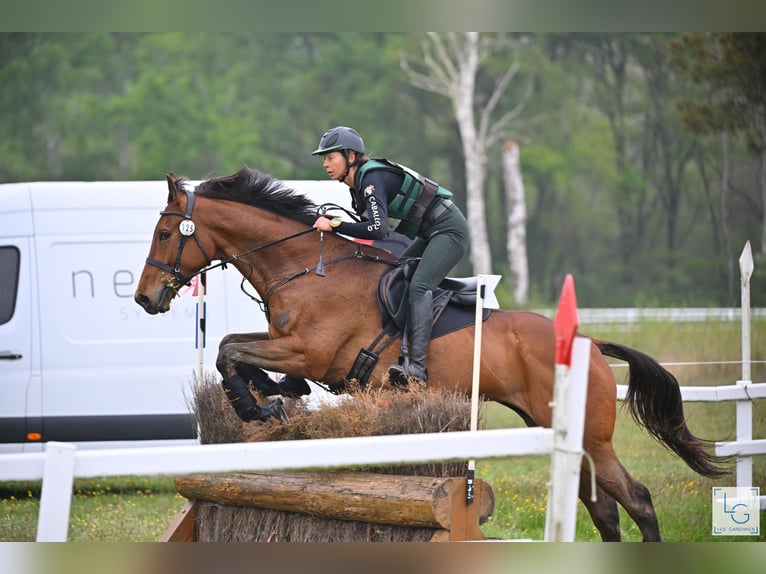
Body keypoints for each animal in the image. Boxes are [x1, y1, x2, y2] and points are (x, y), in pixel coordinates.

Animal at [134, 166, 728, 541]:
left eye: (164, 234)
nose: (145, 298)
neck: (306, 266)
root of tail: (589, 344)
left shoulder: (307, 352)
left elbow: (231, 352)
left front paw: (256, 405)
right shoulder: (290, 348)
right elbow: (234, 351)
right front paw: (270, 397)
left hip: (591, 437)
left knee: (637, 499)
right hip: (560, 432)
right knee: (603, 510)